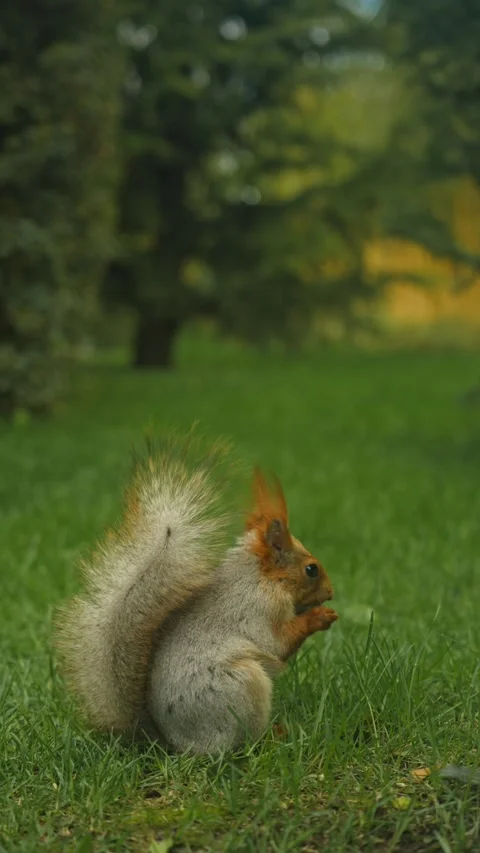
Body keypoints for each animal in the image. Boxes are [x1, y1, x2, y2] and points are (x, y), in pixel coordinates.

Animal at [56, 437, 338, 754]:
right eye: (311, 569)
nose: (331, 592)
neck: (261, 578)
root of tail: (170, 743)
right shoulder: (258, 610)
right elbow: (277, 643)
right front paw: (320, 617)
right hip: (243, 686)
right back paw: (273, 735)